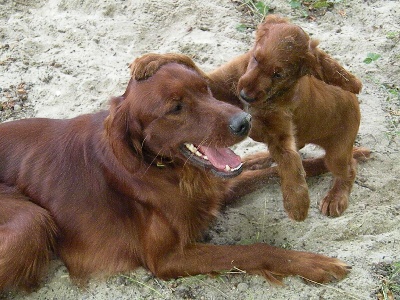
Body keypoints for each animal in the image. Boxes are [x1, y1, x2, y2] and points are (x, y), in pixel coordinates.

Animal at [0, 61, 350, 292]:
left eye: (206, 89)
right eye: (176, 108)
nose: (244, 121)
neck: (165, 169)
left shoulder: (211, 190)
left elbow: (270, 170)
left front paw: (336, 161)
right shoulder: (166, 259)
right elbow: (256, 249)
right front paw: (316, 264)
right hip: (31, 220)